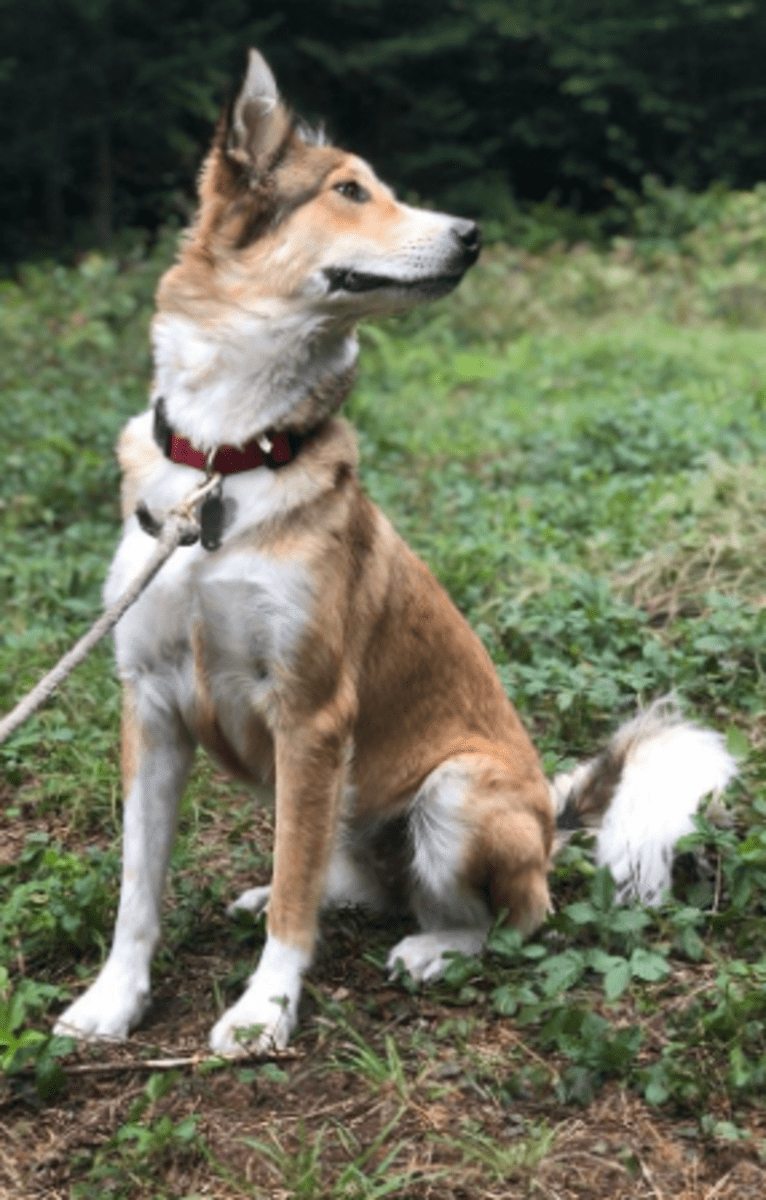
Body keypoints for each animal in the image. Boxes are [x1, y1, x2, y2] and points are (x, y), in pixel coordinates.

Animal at [52, 51, 739, 1056]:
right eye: (348, 190)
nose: (473, 235)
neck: (228, 460)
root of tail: (548, 825)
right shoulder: (151, 706)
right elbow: (140, 890)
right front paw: (114, 998)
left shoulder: (311, 713)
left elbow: (291, 911)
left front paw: (265, 1009)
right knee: (346, 882)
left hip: (454, 793)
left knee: (498, 919)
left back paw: (433, 949)